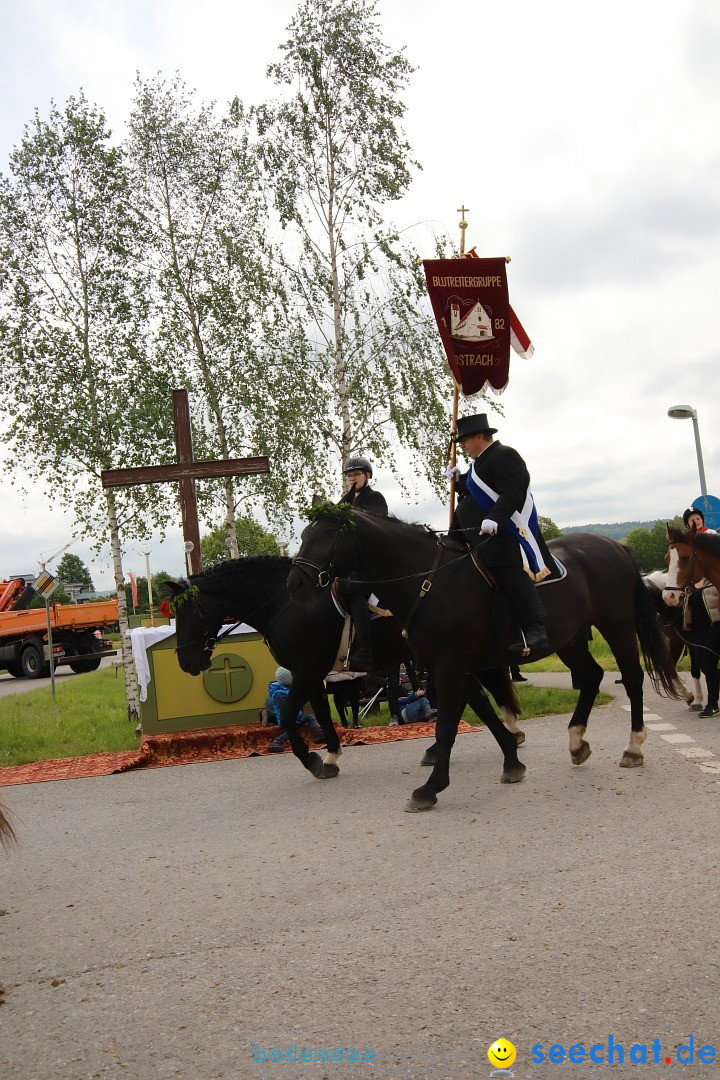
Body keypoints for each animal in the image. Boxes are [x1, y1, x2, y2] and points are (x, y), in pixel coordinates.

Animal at [287, 505, 682, 812]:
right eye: (304, 533)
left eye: (327, 534)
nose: (296, 584)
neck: (428, 582)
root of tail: (614, 545)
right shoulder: (454, 667)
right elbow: (485, 713)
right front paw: (511, 761)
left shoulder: (449, 666)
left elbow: (448, 725)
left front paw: (430, 787)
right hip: (570, 639)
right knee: (592, 676)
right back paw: (576, 741)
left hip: (617, 625)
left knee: (631, 678)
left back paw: (633, 747)